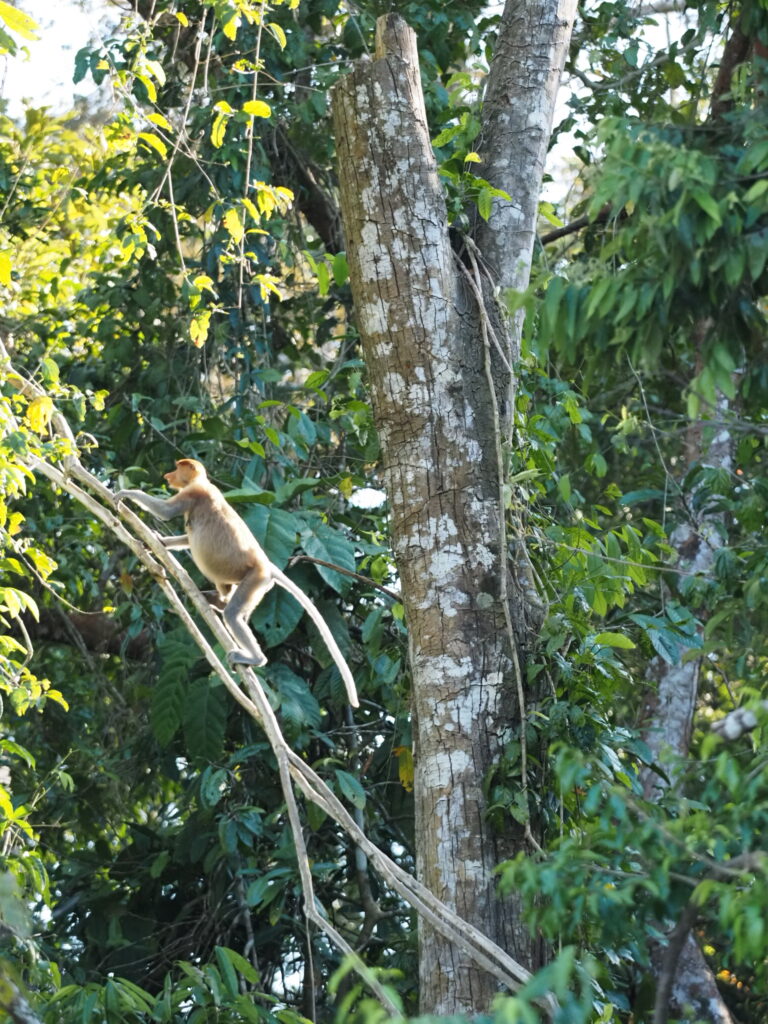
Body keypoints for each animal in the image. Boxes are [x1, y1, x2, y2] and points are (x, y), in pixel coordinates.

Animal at [115, 458, 359, 708]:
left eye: (177, 467)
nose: (168, 476)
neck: (203, 482)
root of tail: (266, 565)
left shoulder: (195, 492)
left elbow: (165, 512)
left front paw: (125, 493)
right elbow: (186, 538)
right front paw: (156, 542)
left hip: (254, 579)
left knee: (233, 614)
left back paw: (254, 657)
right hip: (256, 587)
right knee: (235, 607)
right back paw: (217, 603)